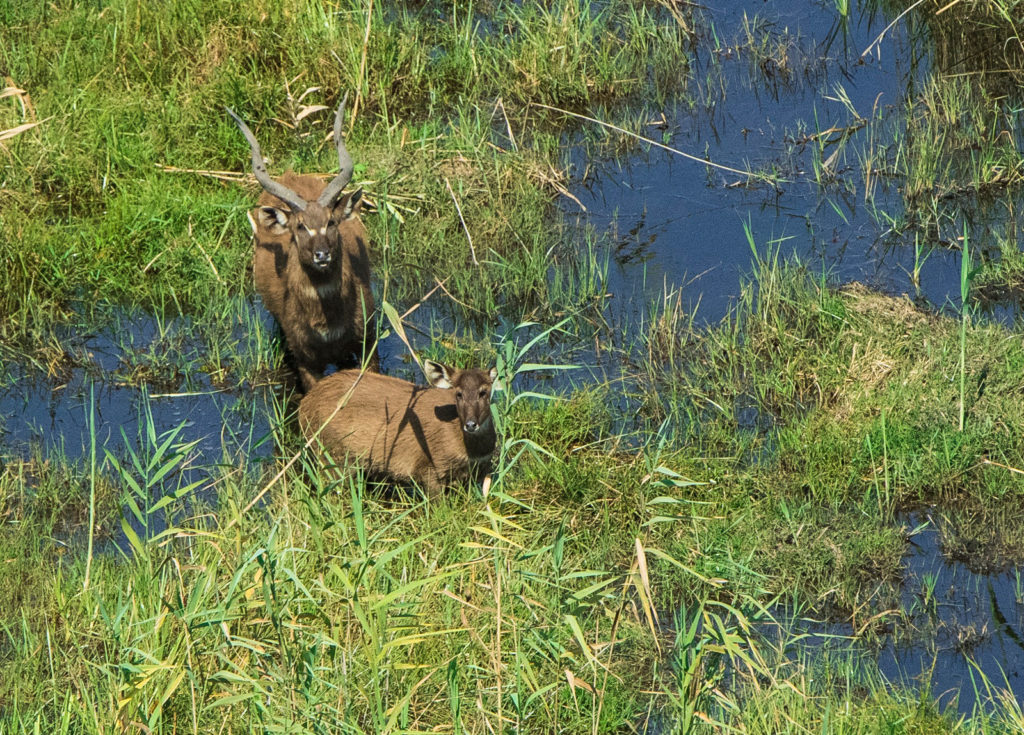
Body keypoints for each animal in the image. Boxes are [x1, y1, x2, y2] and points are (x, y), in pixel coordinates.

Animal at [226, 96, 378, 391]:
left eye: (331, 221)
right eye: (300, 226)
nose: (322, 254)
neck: (328, 328)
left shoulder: (368, 343)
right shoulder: (305, 360)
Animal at [299, 360, 501, 495]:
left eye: (484, 392)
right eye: (458, 393)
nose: (470, 424)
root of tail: (303, 406)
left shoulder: (479, 470)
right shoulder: (429, 466)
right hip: (331, 453)